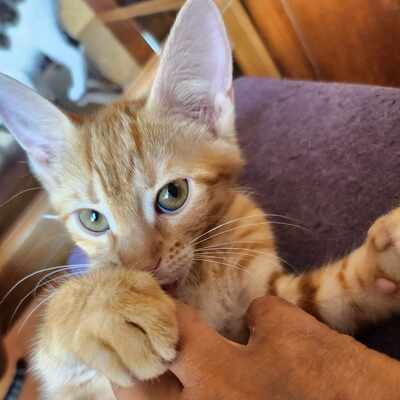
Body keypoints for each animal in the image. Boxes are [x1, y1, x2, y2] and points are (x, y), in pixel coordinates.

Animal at [0, 0, 400, 398]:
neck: (199, 278)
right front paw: (107, 306)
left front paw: (380, 262)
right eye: (93, 219)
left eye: (173, 194)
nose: (143, 265)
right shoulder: (77, 385)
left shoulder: (269, 298)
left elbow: (332, 296)